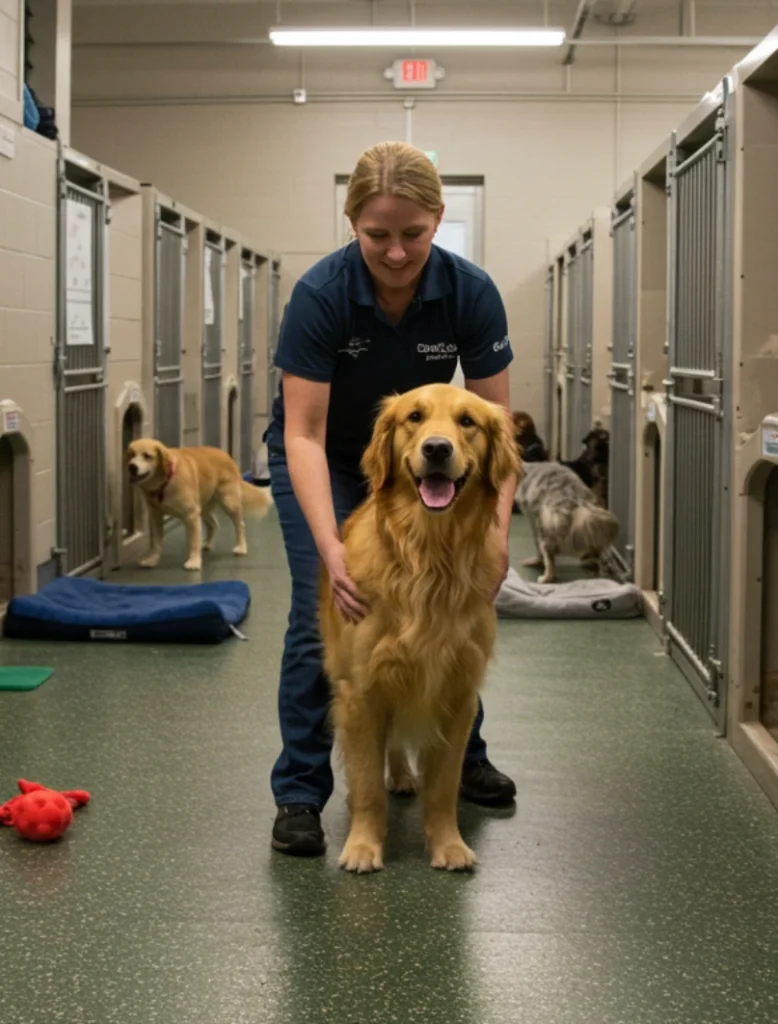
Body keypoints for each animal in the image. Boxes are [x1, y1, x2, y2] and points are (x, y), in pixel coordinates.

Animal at [125, 436, 272, 573]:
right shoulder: (155, 515)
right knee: (213, 524)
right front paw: (152, 559)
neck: (165, 481)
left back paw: (241, 547)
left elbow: (192, 541)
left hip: (229, 502)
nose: (132, 466)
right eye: (131, 455)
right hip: (203, 508)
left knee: (240, 525)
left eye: (147, 456)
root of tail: (226, 455)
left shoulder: (190, 515)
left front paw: (194, 562)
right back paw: (207, 544)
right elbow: (155, 541)